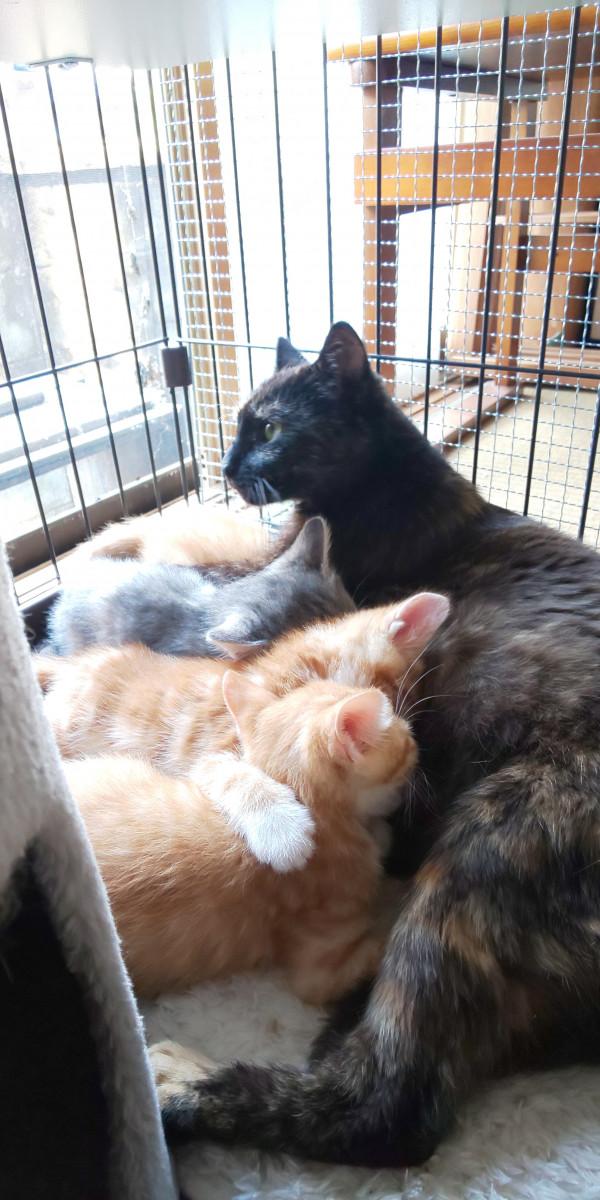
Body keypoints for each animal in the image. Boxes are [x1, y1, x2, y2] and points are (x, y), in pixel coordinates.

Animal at [36, 591, 450, 872]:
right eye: (389, 702)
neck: (290, 679)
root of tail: (75, 664)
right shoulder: (206, 747)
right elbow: (231, 771)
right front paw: (281, 828)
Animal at [154, 321, 600, 1169]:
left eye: (270, 428)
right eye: (241, 423)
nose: (224, 467)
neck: (389, 483)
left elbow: (198, 582)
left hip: (490, 844)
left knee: (391, 1105)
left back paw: (179, 1088)